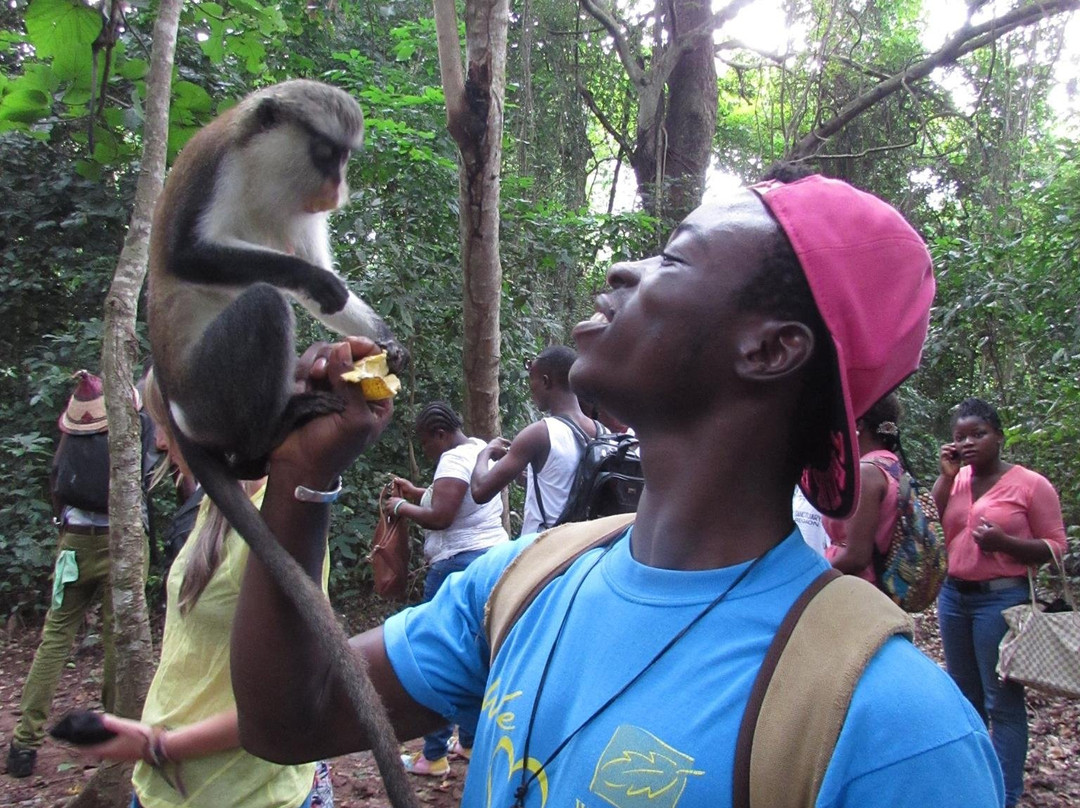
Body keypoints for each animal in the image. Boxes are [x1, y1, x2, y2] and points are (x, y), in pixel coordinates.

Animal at [146, 78, 421, 808]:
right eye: (326, 152)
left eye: (345, 158)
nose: (337, 186)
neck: (270, 173)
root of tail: (175, 404)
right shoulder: (215, 169)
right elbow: (192, 256)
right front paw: (320, 286)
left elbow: (326, 289)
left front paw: (384, 345)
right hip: (212, 389)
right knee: (265, 301)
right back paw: (263, 438)